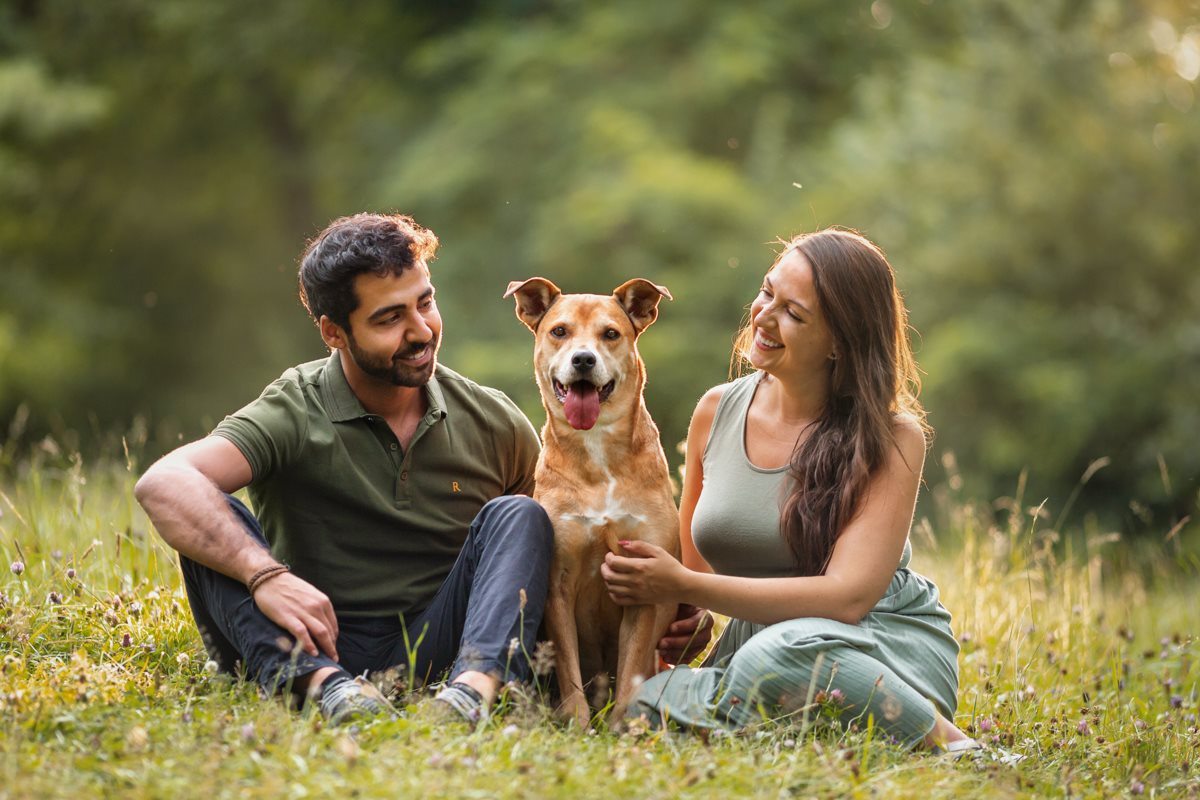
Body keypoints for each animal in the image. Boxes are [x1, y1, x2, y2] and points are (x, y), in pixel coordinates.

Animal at [501, 278, 681, 729]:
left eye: (611, 334)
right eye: (559, 331)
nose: (583, 359)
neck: (597, 448)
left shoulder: (642, 580)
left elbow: (632, 664)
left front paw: (620, 728)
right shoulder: (558, 582)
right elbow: (567, 664)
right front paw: (578, 725)